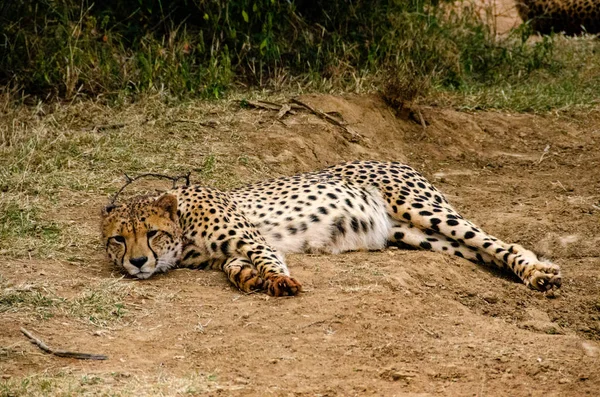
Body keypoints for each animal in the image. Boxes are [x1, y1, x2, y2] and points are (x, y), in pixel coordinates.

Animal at [99, 160, 564, 294]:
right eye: (118, 240)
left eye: (152, 233)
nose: (137, 263)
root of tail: (395, 159)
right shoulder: (226, 253)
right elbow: (234, 267)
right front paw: (248, 278)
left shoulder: (249, 237)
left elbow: (267, 257)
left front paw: (277, 281)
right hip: (416, 235)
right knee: (485, 251)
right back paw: (529, 270)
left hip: (424, 210)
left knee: (497, 241)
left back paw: (537, 273)